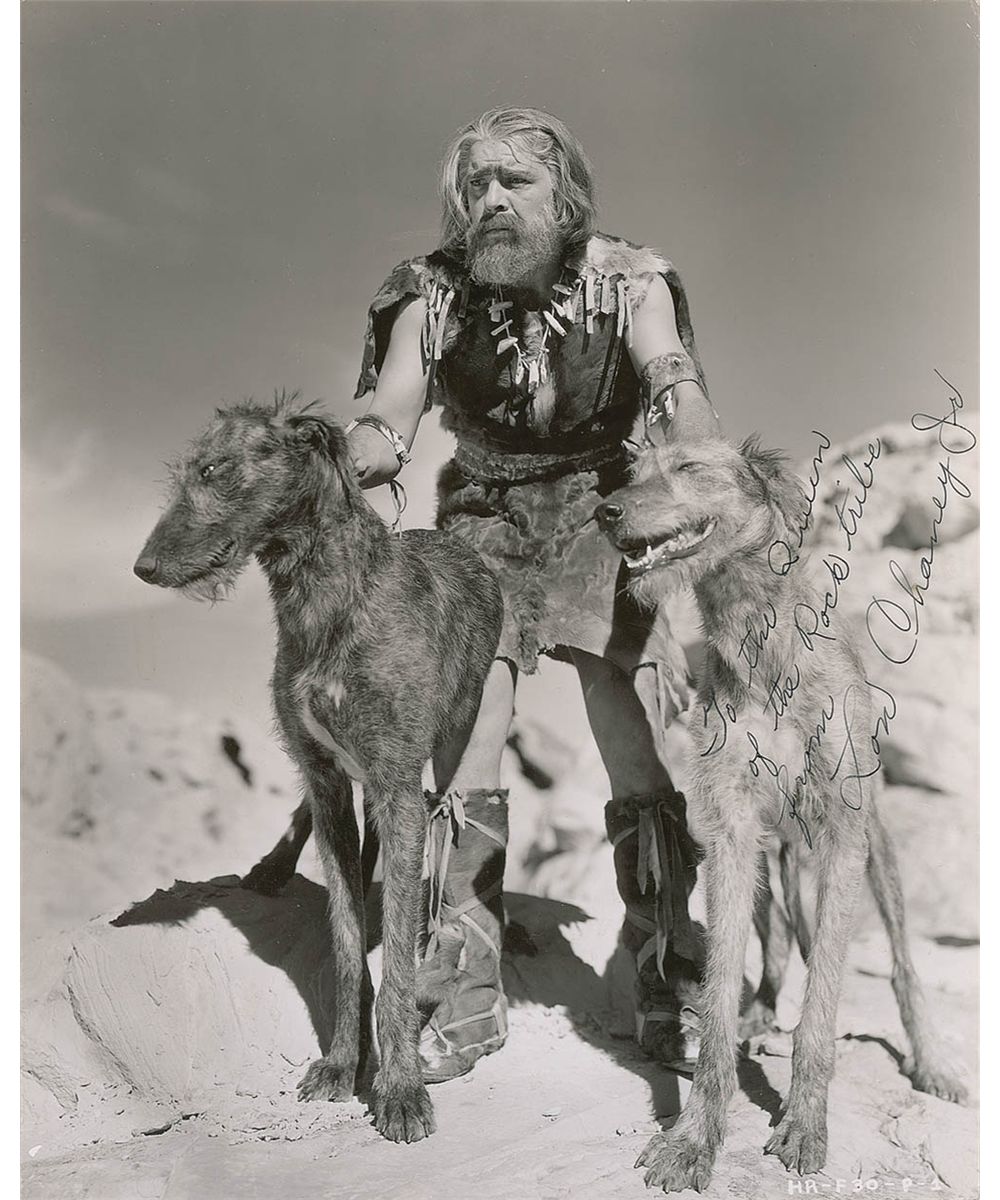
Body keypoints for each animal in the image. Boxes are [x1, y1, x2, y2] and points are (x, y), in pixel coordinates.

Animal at [134, 395, 503, 1143]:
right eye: (188, 470)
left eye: (216, 469)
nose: (144, 567)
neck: (328, 597)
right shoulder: (331, 782)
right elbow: (345, 939)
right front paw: (342, 1062)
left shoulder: (397, 788)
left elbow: (396, 957)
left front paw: (399, 1087)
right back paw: (272, 866)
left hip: (452, 739)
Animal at [595, 436, 966, 1192]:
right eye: (632, 471)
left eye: (689, 468)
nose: (605, 511)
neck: (758, 643)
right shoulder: (732, 833)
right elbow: (719, 993)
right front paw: (695, 1138)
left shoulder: (843, 838)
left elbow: (824, 1002)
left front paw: (803, 1122)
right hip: (773, 858)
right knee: (773, 948)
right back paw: (760, 1015)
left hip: (876, 850)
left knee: (901, 963)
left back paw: (932, 1061)